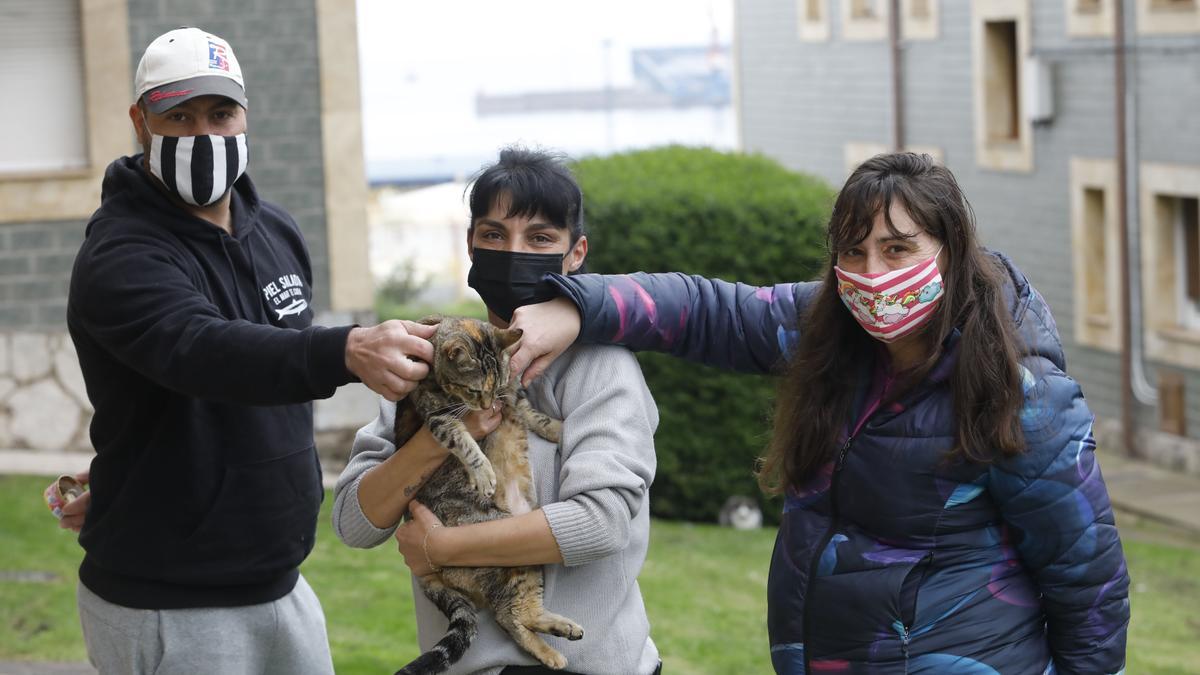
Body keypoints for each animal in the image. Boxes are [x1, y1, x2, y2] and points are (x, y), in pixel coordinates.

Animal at [396, 317, 583, 672]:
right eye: (473, 390)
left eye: (495, 390)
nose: (487, 405)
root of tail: (431, 572)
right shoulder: (439, 418)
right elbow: (464, 442)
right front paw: (483, 472)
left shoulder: (514, 393)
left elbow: (532, 413)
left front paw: (559, 428)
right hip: (508, 550)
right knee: (511, 614)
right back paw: (556, 646)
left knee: (514, 616)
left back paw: (560, 636)